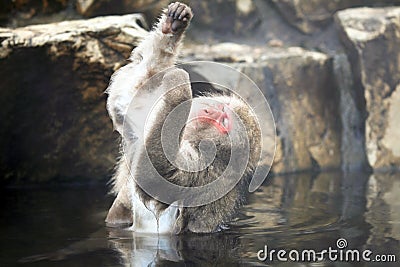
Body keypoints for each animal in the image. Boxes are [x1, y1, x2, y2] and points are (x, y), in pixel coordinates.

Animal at [104, 2, 260, 234]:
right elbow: (130, 96)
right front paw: (173, 25)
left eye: (223, 122)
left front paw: (180, 84)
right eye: (220, 108)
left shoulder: (202, 169)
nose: (207, 112)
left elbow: (156, 178)